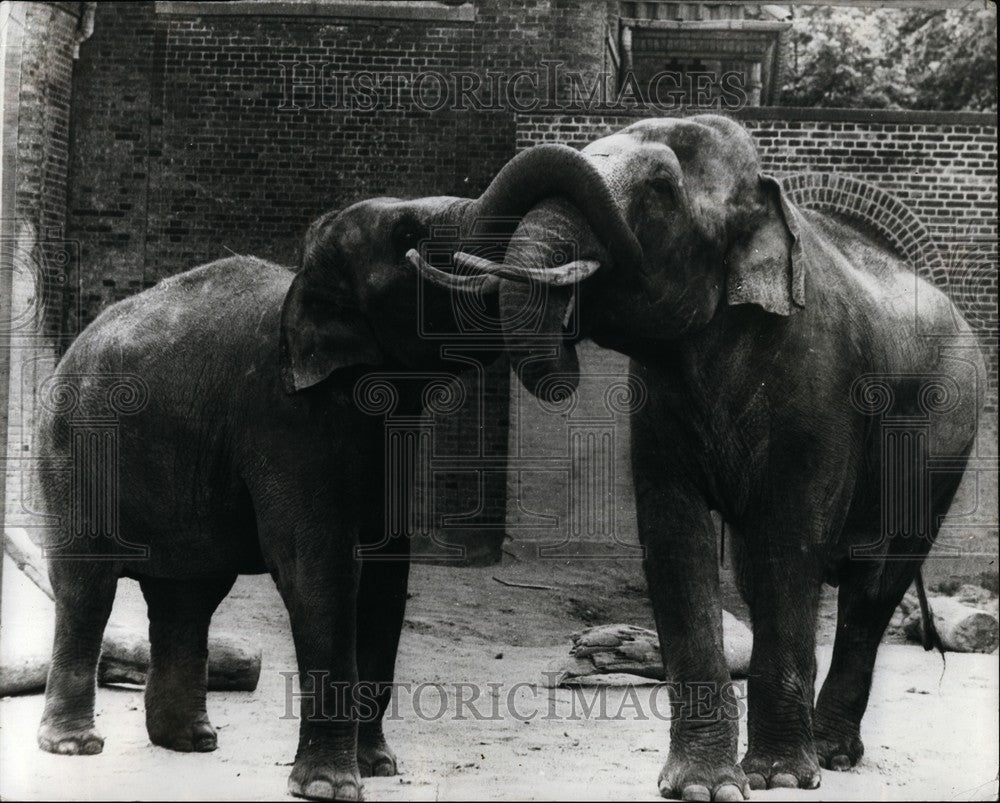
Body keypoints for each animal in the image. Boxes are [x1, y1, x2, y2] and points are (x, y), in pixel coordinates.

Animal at [33, 145, 627, 801]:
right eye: (408, 237)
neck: (307, 281)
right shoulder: (285, 418)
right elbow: (318, 567)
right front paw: (330, 787)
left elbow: (388, 572)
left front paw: (379, 768)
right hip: (73, 450)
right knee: (88, 584)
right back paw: (75, 746)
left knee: (189, 594)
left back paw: (191, 742)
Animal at [449, 115, 985, 800]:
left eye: (660, 187)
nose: (565, 349)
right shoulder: (655, 401)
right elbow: (679, 538)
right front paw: (704, 787)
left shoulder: (823, 391)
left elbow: (788, 541)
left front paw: (777, 777)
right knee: (768, 577)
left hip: (945, 434)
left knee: (874, 580)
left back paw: (832, 754)